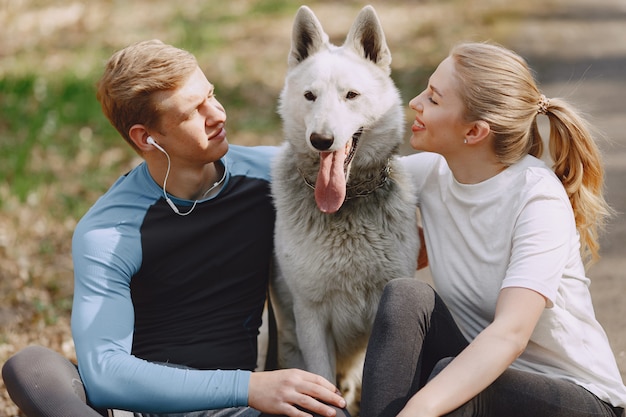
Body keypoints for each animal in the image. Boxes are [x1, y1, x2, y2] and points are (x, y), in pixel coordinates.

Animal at [270, 6, 416, 412]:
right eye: (310, 96)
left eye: (351, 95)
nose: (321, 140)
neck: (346, 205)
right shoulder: (311, 315)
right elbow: (322, 386)